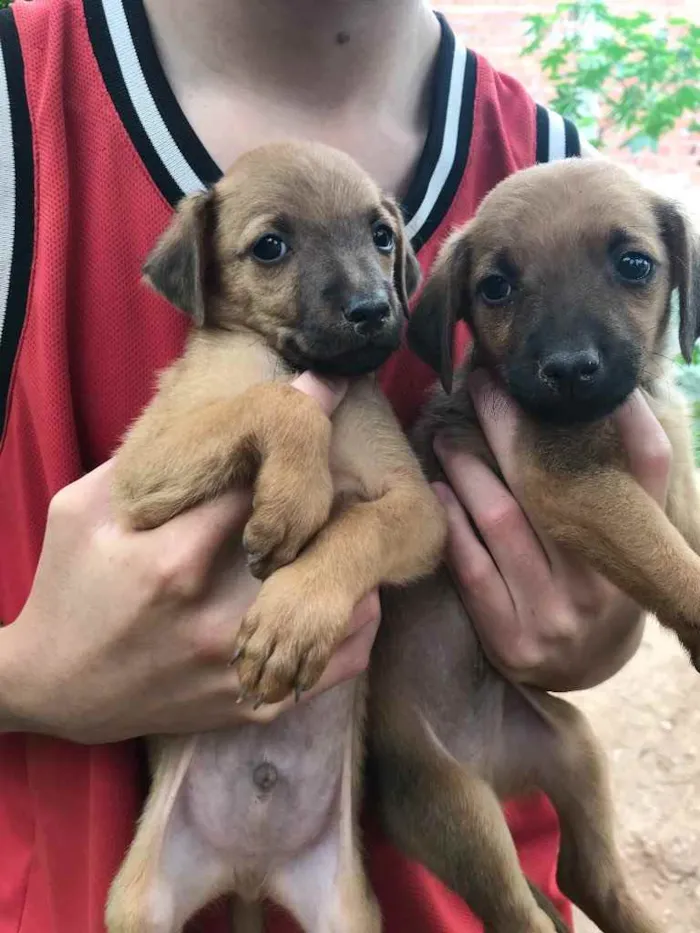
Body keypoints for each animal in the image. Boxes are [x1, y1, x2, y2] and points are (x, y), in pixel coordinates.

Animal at [104, 140, 446, 932]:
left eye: (381, 236)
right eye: (270, 247)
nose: (375, 311)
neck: (293, 362)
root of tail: (251, 874)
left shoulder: (416, 508)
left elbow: (355, 527)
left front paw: (291, 619)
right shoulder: (140, 472)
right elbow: (276, 405)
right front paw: (298, 493)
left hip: (347, 912)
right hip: (138, 908)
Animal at [366, 158, 700, 932]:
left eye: (634, 264)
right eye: (496, 287)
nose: (570, 369)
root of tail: (497, 770)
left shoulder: (675, 485)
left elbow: (684, 546)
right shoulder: (572, 484)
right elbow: (672, 564)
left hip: (574, 749)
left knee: (586, 875)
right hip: (459, 816)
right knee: (522, 914)